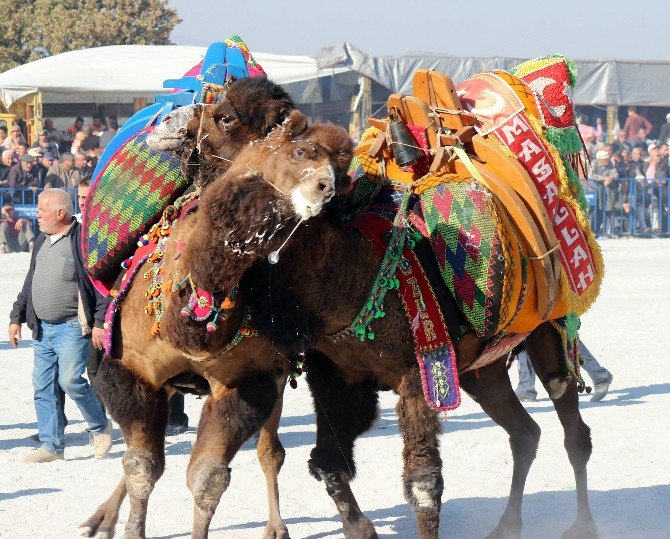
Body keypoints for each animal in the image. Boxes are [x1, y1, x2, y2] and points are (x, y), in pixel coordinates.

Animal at [80, 97, 354, 539]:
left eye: (341, 174)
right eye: (300, 152)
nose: (325, 188)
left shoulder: (247, 381)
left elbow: (208, 478)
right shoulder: (132, 371)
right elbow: (142, 468)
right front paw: (130, 528)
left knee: (269, 451)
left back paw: (276, 526)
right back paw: (99, 517)